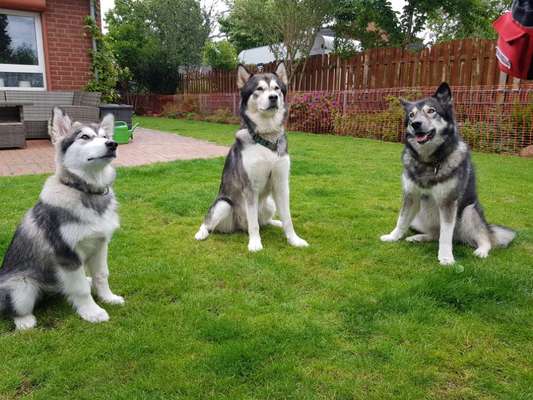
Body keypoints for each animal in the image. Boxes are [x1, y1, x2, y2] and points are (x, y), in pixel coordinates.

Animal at [0, 108, 123, 330]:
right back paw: (26, 322)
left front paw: (108, 298)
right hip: (22, 288)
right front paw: (92, 312)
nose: (112, 144)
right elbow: (81, 289)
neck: (86, 192)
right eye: (85, 137)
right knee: (13, 309)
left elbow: (102, 275)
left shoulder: (101, 244)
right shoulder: (67, 253)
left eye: (105, 136)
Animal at [194, 63, 308, 252]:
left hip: (269, 203)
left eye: (277, 88)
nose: (273, 97)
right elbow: (253, 224)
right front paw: (255, 243)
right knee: (209, 223)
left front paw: (294, 240)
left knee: (264, 221)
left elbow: (288, 218)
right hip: (223, 205)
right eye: (259, 89)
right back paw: (201, 233)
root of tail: (240, 226)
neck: (266, 139)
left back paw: (275, 222)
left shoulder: (281, 184)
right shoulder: (250, 187)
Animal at [380, 83, 512, 266]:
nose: (415, 124)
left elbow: (445, 235)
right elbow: (401, 220)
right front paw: (393, 237)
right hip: (418, 218)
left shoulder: (448, 202)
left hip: (469, 212)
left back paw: (481, 251)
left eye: (431, 111)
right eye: (412, 115)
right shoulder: (410, 196)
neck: (429, 162)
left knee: (484, 238)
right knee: (434, 234)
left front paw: (446, 257)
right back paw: (418, 237)